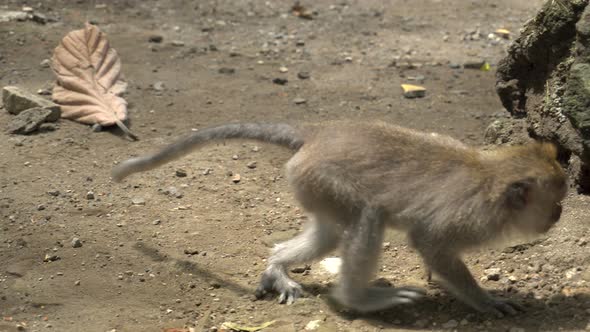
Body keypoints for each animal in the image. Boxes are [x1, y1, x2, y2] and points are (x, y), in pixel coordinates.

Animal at [111, 121, 568, 316]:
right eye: (556, 203)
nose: (558, 217)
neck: (492, 179)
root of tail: (316, 137)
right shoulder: (464, 219)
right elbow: (429, 242)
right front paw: (485, 301)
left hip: (312, 186)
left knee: (330, 235)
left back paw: (277, 265)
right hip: (324, 180)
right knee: (369, 215)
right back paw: (358, 301)